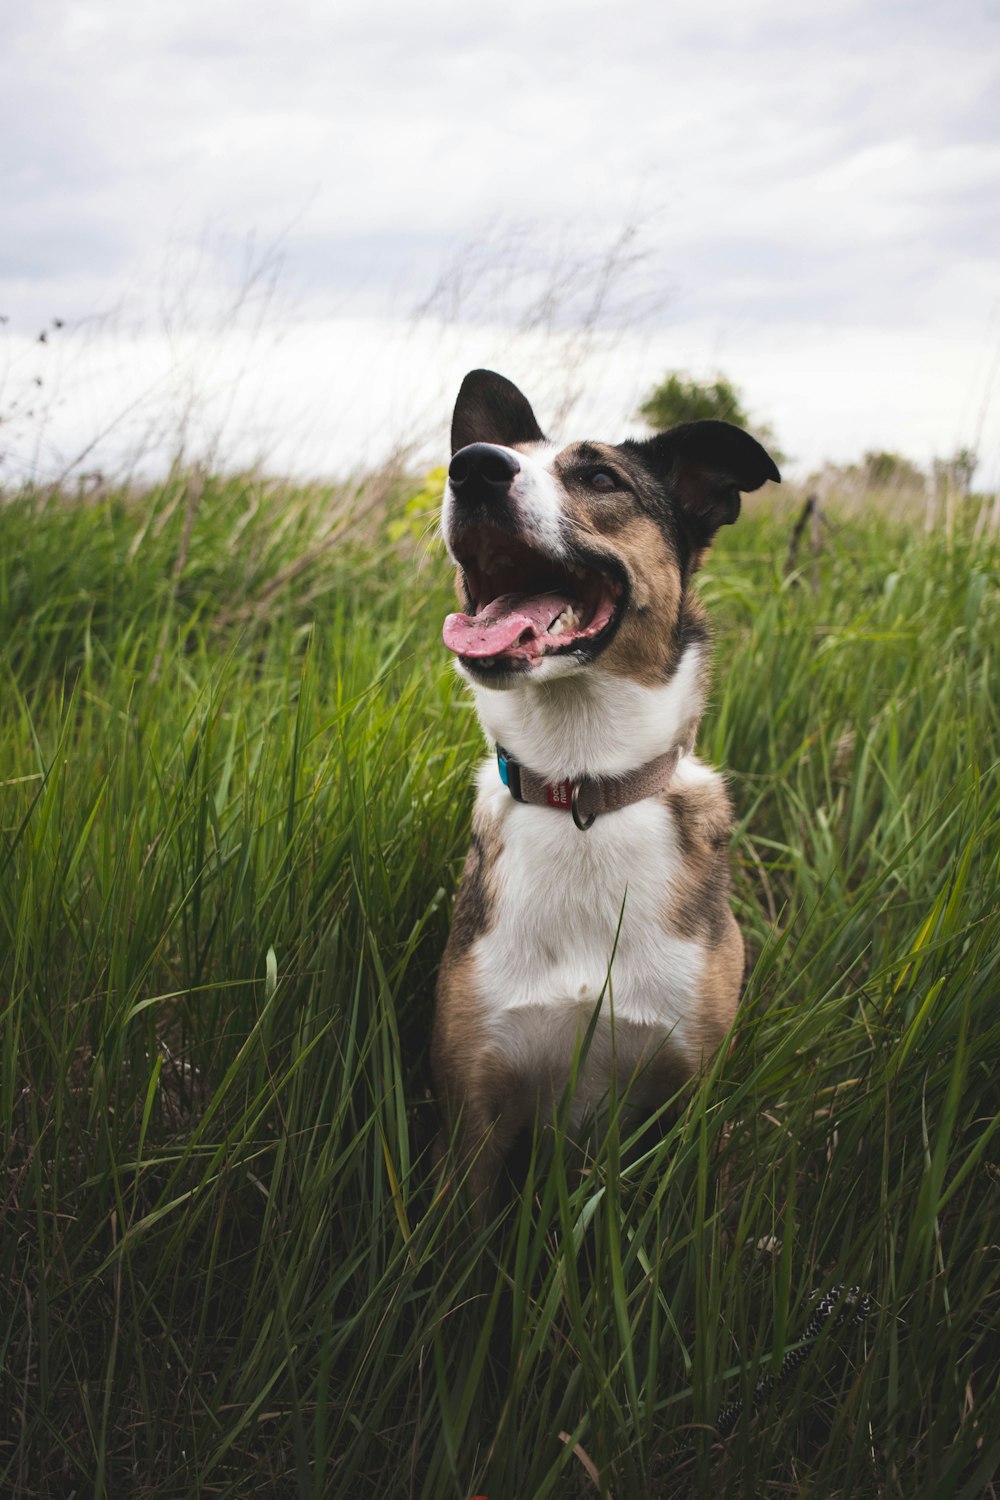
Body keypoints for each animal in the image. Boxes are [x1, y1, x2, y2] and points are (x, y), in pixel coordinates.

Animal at [434, 372, 779, 1206]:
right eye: (477, 456)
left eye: (598, 479)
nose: (474, 468)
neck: (583, 787)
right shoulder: (473, 1116)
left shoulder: (692, 1098)